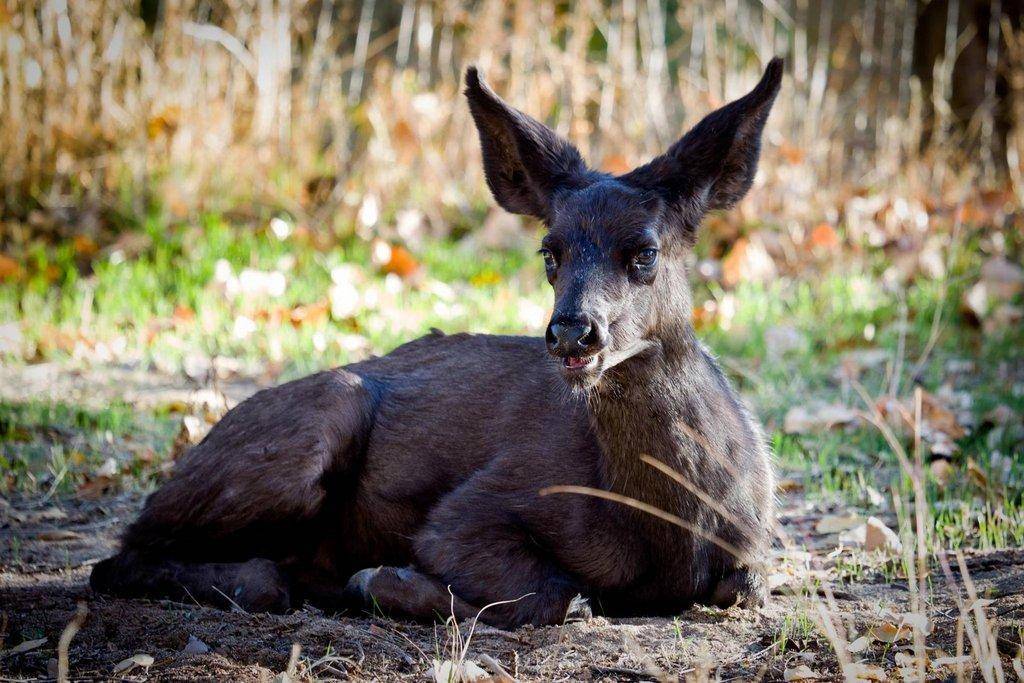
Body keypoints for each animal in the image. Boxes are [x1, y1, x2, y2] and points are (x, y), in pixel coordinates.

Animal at [94, 60, 782, 630]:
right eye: (549, 252)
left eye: (645, 253)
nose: (571, 331)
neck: (672, 525)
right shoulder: (478, 507)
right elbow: (554, 595)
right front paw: (384, 580)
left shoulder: (755, 551)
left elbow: (743, 586)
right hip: (317, 421)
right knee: (119, 558)